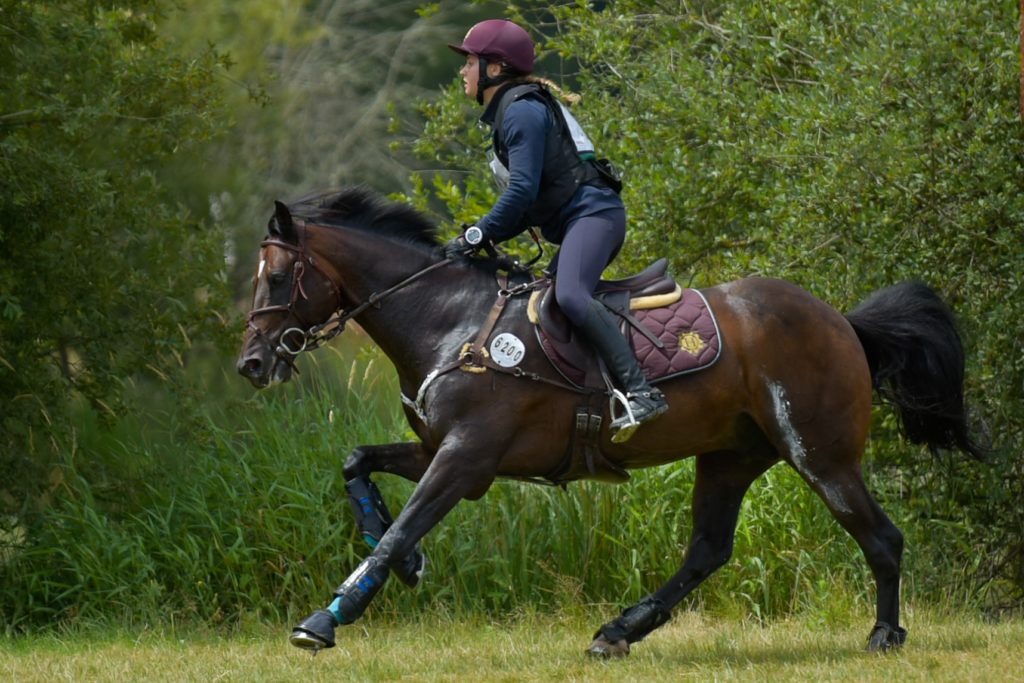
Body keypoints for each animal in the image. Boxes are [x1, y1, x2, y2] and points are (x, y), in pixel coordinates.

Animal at [235, 187, 978, 655]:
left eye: (276, 279)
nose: (251, 363)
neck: (448, 319)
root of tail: (843, 322)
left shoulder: (466, 456)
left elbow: (398, 531)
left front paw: (325, 618)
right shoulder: (447, 451)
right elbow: (359, 464)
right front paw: (404, 558)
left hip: (819, 454)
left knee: (881, 537)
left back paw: (884, 634)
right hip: (732, 454)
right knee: (708, 549)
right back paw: (620, 630)